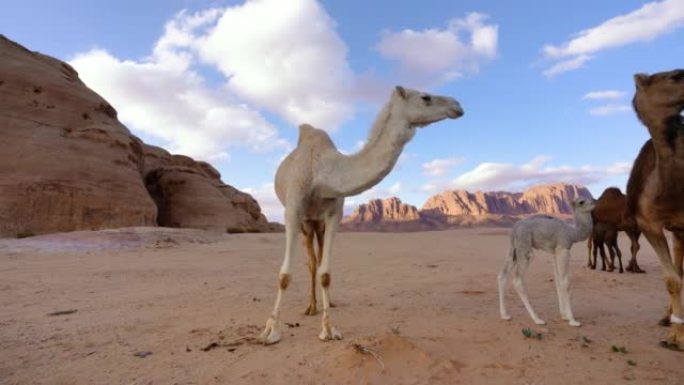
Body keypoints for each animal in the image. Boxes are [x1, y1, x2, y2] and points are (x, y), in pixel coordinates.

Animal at [496, 198, 592, 328]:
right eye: (581, 202)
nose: (595, 202)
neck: (573, 233)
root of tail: (514, 229)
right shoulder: (563, 249)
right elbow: (565, 282)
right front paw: (573, 320)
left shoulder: (555, 252)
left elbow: (558, 281)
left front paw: (564, 315)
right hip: (525, 247)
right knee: (518, 280)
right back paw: (537, 319)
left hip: (513, 249)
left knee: (502, 276)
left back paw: (505, 315)